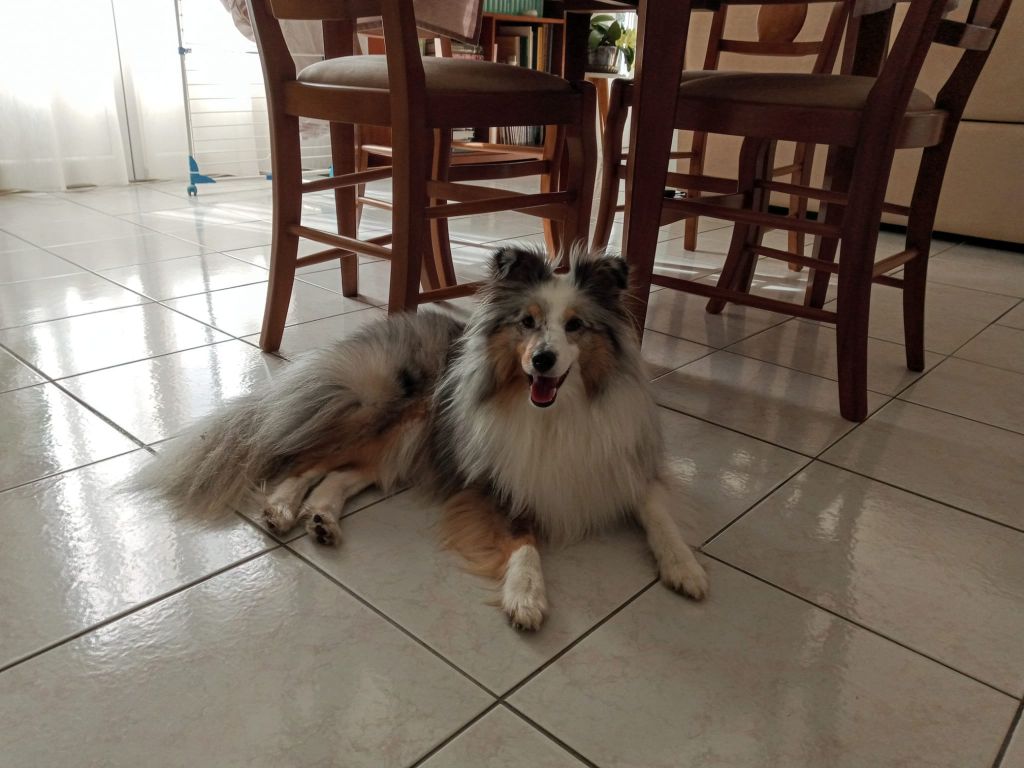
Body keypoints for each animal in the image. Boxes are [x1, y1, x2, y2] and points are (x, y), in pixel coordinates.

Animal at [133, 246, 708, 630]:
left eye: (575, 326)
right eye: (527, 322)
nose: (542, 361)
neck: (557, 413)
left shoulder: (625, 463)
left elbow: (657, 513)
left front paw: (685, 568)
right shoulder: (495, 480)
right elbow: (523, 537)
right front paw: (526, 595)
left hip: (407, 440)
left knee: (340, 476)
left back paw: (322, 520)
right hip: (389, 414)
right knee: (302, 460)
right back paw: (280, 509)